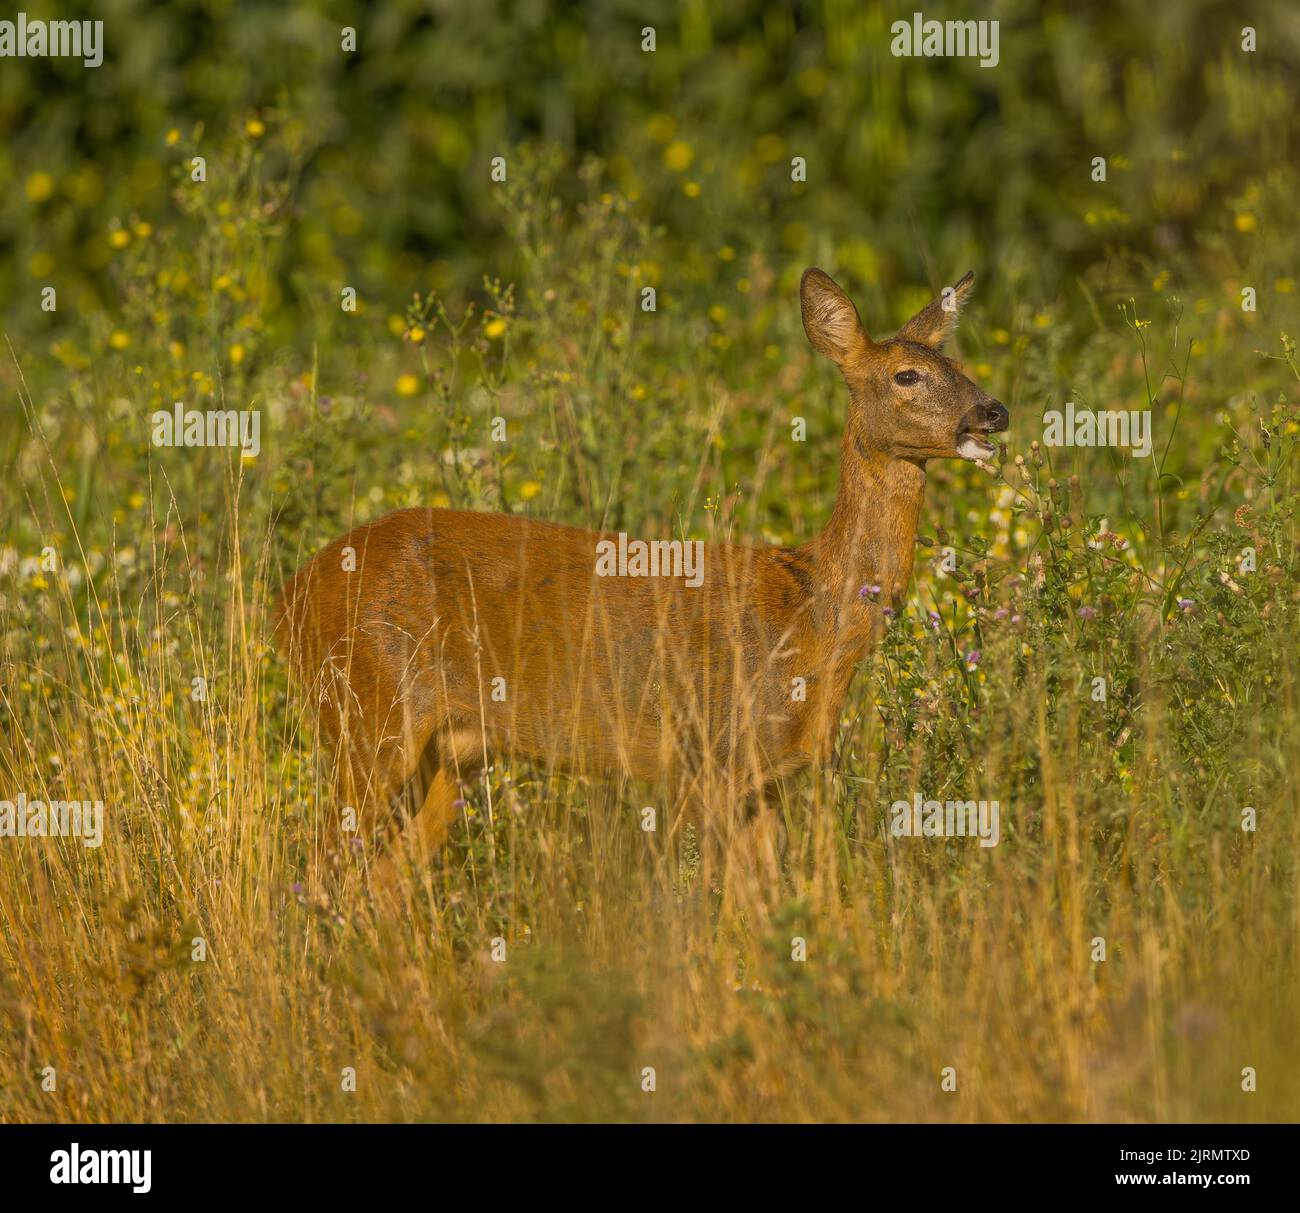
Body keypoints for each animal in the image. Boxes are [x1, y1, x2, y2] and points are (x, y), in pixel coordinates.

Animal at [274, 268, 1008, 898]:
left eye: (960, 365)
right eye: (907, 374)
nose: (993, 411)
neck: (811, 613)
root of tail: (289, 593)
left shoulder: (767, 779)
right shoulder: (706, 755)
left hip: (444, 757)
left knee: (381, 883)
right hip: (367, 715)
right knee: (314, 873)